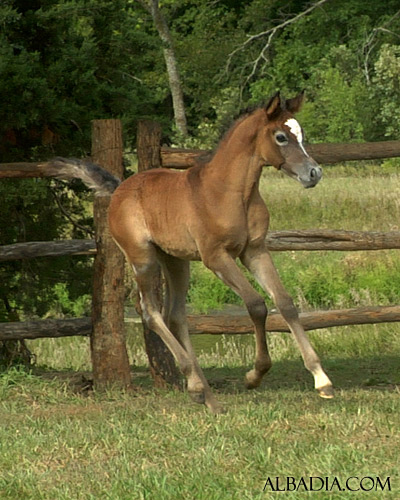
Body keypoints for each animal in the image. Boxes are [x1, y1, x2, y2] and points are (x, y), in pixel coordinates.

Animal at [46, 92, 334, 412]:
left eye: (301, 134)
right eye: (281, 137)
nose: (314, 173)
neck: (230, 192)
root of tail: (120, 188)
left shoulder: (255, 251)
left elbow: (285, 303)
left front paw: (321, 380)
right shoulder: (216, 257)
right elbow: (256, 305)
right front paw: (254, 375)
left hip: (176, 262)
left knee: (175, 314)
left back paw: (204, 392)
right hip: (143, 258)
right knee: (150, 312)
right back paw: (196, 384)